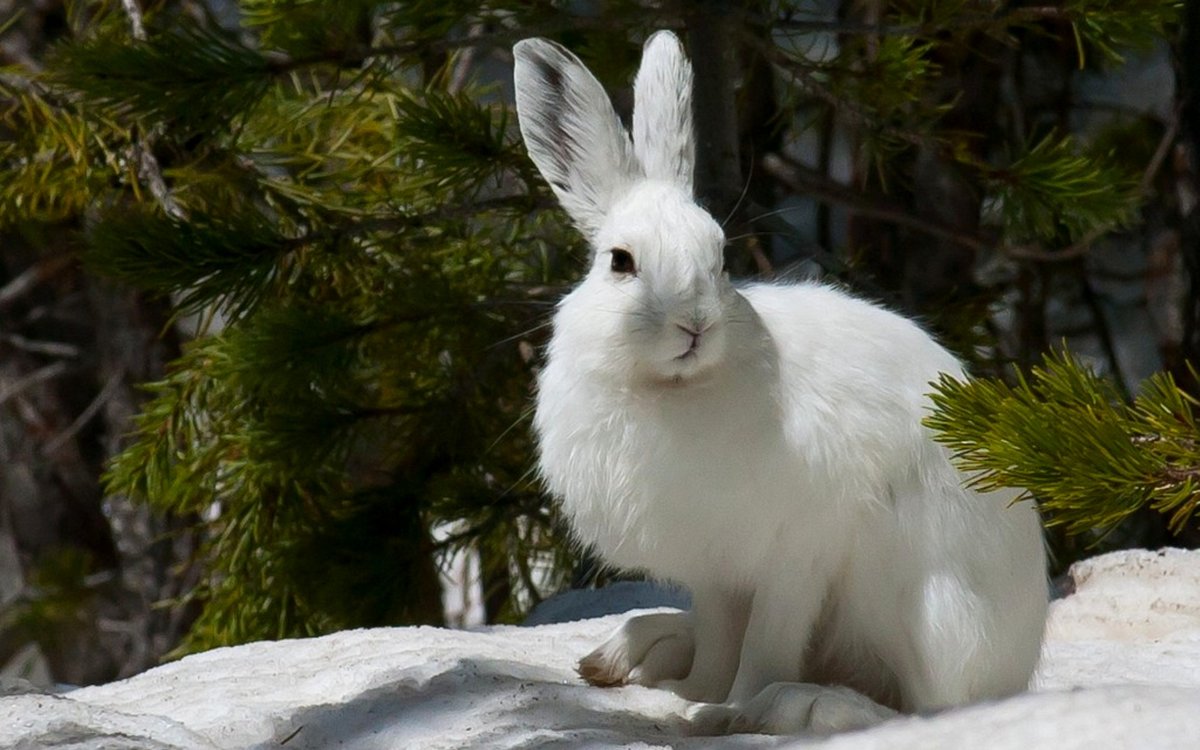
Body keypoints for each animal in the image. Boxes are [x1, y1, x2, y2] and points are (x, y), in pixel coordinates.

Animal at [512, 30, 1048, 734]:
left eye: (718, 258)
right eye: (620, 262)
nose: (695, 323)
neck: (673, 391)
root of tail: (1021, 654)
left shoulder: (796, 555)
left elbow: (765, 646)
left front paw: (723, 710)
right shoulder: (715, 572)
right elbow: (718, 644)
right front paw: (691, 694)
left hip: (928, 604)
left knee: (930, 706)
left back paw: (796, 703)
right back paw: (632, 650)